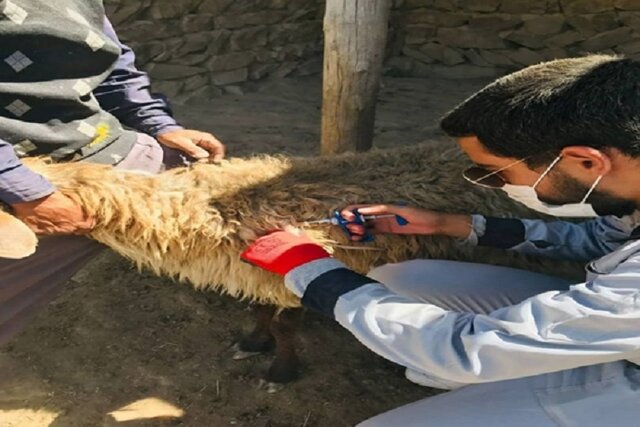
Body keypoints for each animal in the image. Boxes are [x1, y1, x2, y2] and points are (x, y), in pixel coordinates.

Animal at [1, 143, 584, 388]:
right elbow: (259, 312)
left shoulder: (295, 274)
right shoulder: (256, 273)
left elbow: (286, 325)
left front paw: (279, 371)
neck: (214, 206)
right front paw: (251, 340)